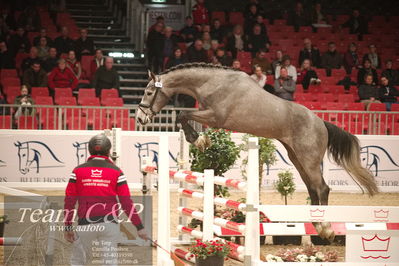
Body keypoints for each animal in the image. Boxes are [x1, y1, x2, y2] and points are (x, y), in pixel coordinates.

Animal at [138, 62, 378, 241]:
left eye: (149, 92)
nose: (140, 119)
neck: (213, 83)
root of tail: (321, 122)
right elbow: (183, 116)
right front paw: (198, 139)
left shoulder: (215, 116)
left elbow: (183, 115)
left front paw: (197, 139)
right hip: (296, 158)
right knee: (312, 188)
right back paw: (315, 226)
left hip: (308, 159)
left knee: (322, 188)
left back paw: (326, 229)